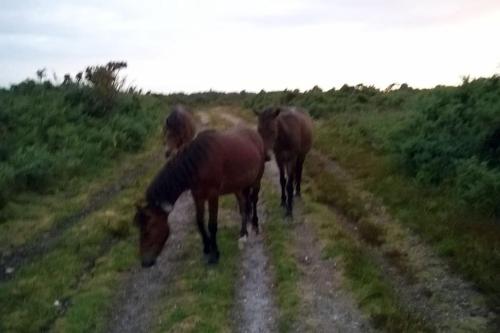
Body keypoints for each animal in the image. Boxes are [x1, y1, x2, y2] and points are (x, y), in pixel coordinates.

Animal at [133, 126, 266, 266]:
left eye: (148, 230)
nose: (145, 262)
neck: (199, 164)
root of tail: (255, 134)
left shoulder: (213, 195)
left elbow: (212, 225)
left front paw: (215, 255)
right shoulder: (197, 196)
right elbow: (200, 221)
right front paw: (207, 248)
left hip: (257, 180)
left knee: (254, 200)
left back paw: (255, 225)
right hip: (238, 187)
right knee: (243, 206)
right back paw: (243, 234)